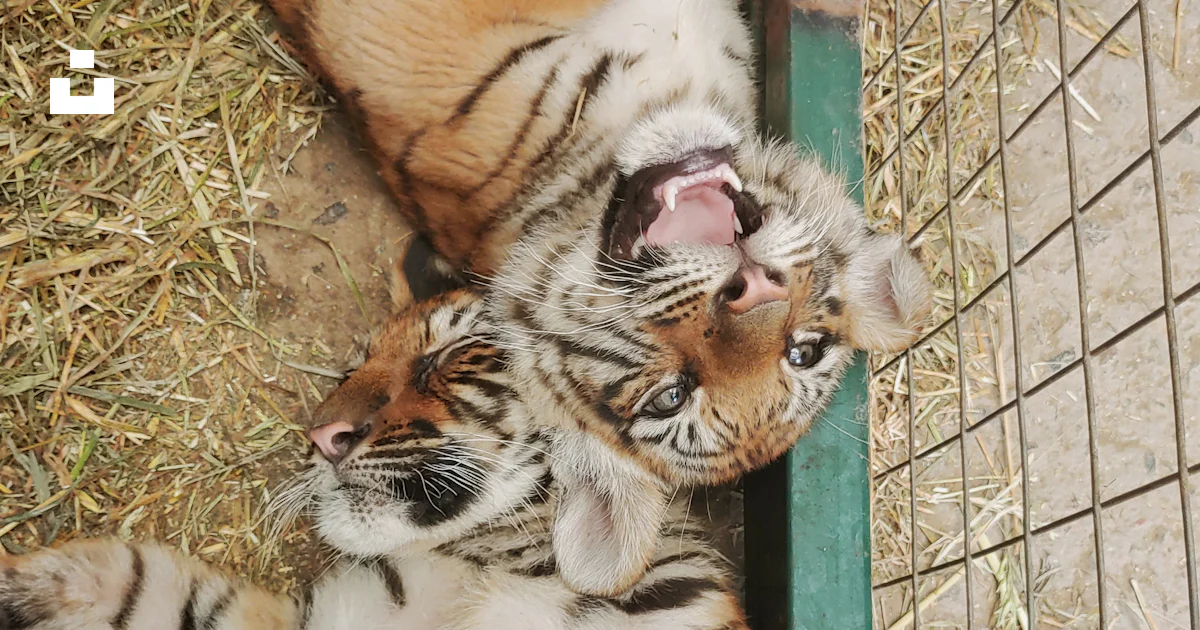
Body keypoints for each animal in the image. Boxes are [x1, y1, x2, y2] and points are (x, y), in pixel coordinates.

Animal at [0, 289, 748, 630]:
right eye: (348, 367)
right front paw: (22, 584)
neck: (492, 564)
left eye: (452, 355)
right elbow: (144, 582)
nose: (321, 436)